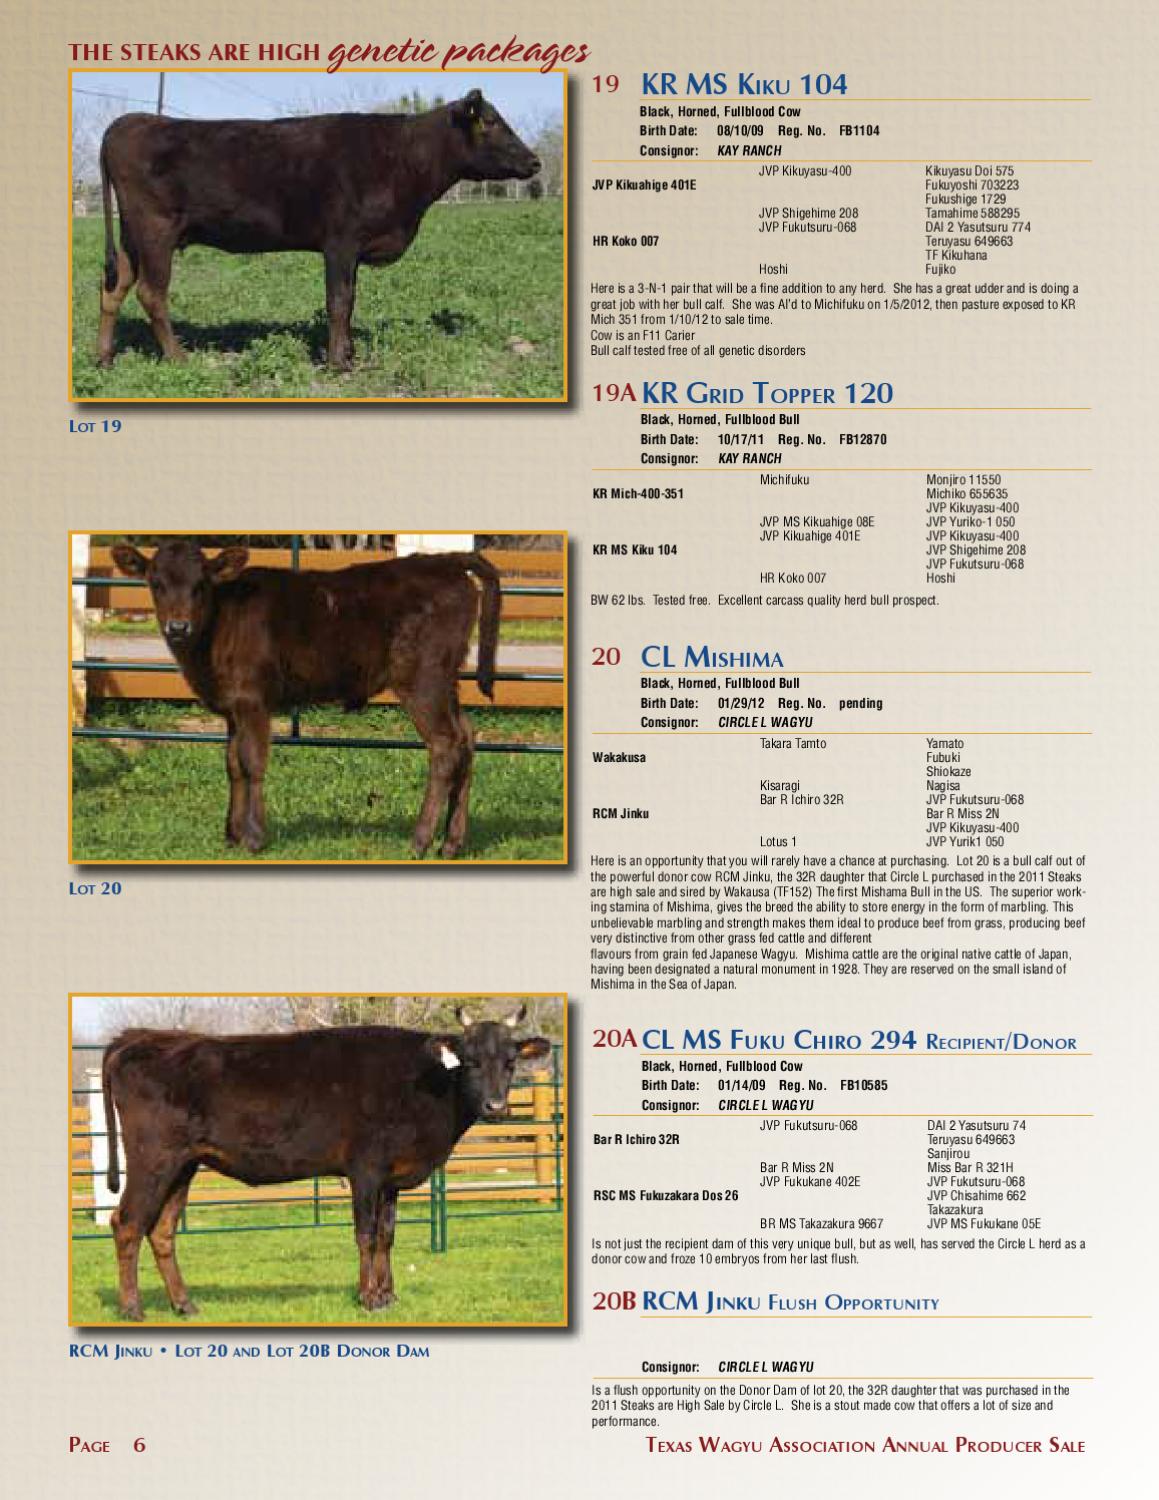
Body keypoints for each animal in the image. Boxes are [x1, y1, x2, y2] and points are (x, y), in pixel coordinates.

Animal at [96, 90, 542, 369]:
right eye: (491, 122)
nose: (535, 161)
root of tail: (128, 122)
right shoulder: (340, 242)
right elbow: (339, 302)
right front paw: (336, 363)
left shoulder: (355, 249)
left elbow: (351, 300)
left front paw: (349, 355)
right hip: (156, 230)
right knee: (152, 293)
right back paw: (178, 358)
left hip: (131, 236)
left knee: (113, 289)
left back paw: (103, 358)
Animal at [100, 1008, 553, 1320]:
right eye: (471, 1061)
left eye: (511, 1062)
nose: (496, 1106)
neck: (426, 1083)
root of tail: (139, 1036)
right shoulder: (365, 1169)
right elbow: (366, 1235)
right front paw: (367, 1297)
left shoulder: (391, 1178)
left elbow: (387, 1235)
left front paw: (388, 1295)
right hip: (152, 1159)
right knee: (127, 1224)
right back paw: (132, 1308)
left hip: (183, 1165)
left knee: (161, 1231)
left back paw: (185, 1304)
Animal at [110, 540, 500, 858]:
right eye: (156, 583)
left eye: (200, 585)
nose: (178, 627)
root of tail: (444, 561)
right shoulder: (231, 708)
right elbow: (232, 764)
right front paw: (232, 834)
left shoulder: (252, 699)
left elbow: (252, 762)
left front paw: (254, 837)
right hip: (446, 680)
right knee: (466, 736)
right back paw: (451, 843)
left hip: (423, 678)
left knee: (445, 745)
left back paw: (420, 840)